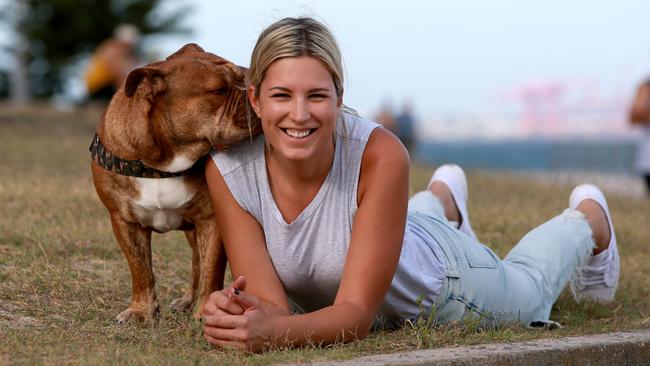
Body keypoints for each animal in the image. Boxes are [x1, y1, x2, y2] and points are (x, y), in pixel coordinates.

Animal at [89, 43, 260, 324]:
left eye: (241, 77)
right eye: (219, 90)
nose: (255, 95)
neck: (162, 162)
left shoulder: (211, 220)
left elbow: (211, 270)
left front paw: (206, 312)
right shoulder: (123, 221)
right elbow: (140, 269)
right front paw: (141, 312)